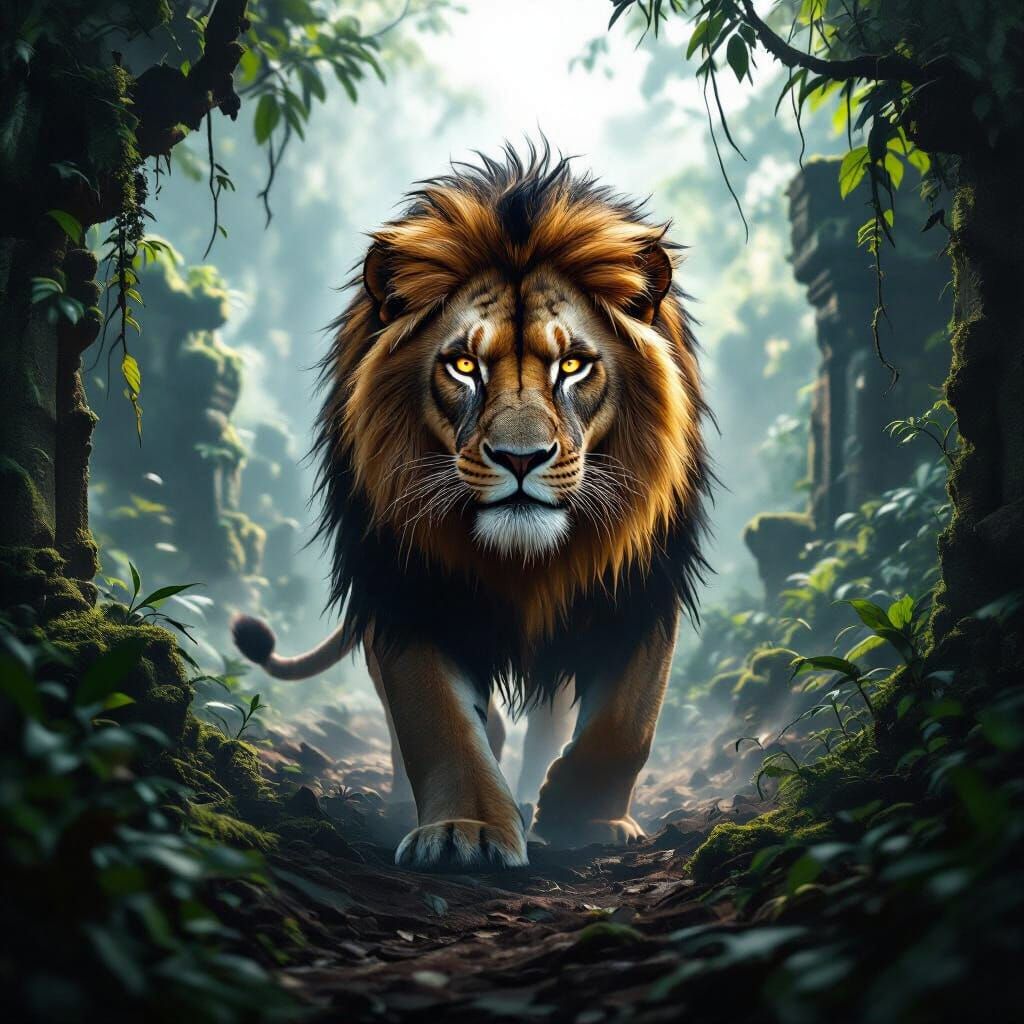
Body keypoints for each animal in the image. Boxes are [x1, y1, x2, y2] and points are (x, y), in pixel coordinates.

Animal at [233, 142, 711, 871]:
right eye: (463, 366)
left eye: (573, 365)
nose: (520, 459)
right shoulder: (407, 589)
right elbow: (437, 720)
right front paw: (468, 831)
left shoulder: (642, 583)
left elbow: (627, 722)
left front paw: (582, 818)